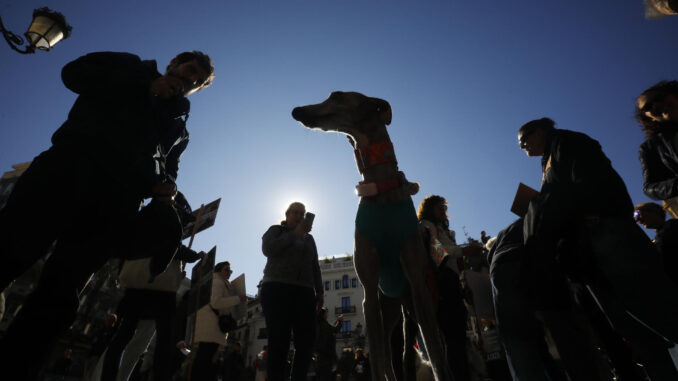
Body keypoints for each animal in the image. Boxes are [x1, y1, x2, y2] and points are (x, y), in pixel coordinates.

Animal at [290, 91, 452, 380]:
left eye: (337, 96)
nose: (297, 110)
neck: (382, 190)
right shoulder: (368, 293)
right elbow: (376, 358)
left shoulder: (419, 286)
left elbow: (435, 354)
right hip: (385, 306)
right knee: (386, 352)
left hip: (408, 307)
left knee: (411, 349)